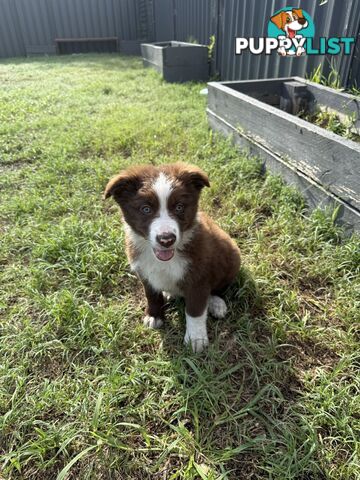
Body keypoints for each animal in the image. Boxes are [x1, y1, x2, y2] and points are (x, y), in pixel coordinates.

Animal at [102, 163, 240, 350]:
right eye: (145, 209)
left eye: (179, 207)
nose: (166, 239)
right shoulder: (144, 272)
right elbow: (151, 295)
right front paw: (154, 315)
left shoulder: (198, 278)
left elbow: (195, 311)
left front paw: (195, 339)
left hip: (231, 258)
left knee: (218, 288)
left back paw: (216, 303)